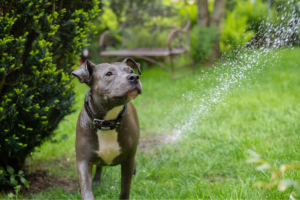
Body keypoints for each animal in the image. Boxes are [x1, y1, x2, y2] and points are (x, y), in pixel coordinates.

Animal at [72, 57, 143, 200]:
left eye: (131, 71)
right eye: (109, 74)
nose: (134, 77)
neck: (107, 122)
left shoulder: (127, 161)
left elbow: (125, 190)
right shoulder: (83, 162)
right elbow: (86, 192)